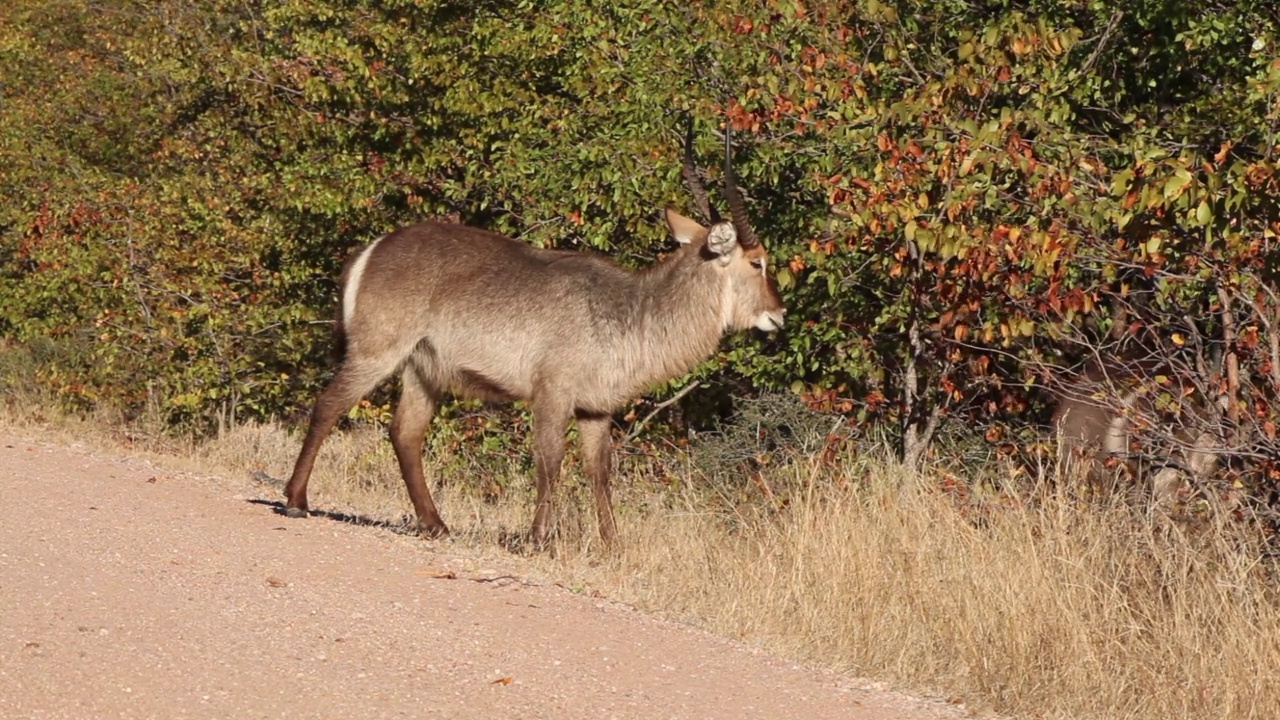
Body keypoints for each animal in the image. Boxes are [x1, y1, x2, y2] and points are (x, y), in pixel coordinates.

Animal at [285, 127, 783, 543]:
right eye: (758, 262)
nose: (778, 314)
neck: (632, 310)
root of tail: (371, 249)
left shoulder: (596, 406)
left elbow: (599, 471)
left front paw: (612, 544)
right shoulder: (552, 392)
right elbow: (550, 461)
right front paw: (540, 538)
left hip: (423, 368)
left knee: (405, 433)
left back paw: (437, 524)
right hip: (377, 350)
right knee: (329, 404)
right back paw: (295, 501)